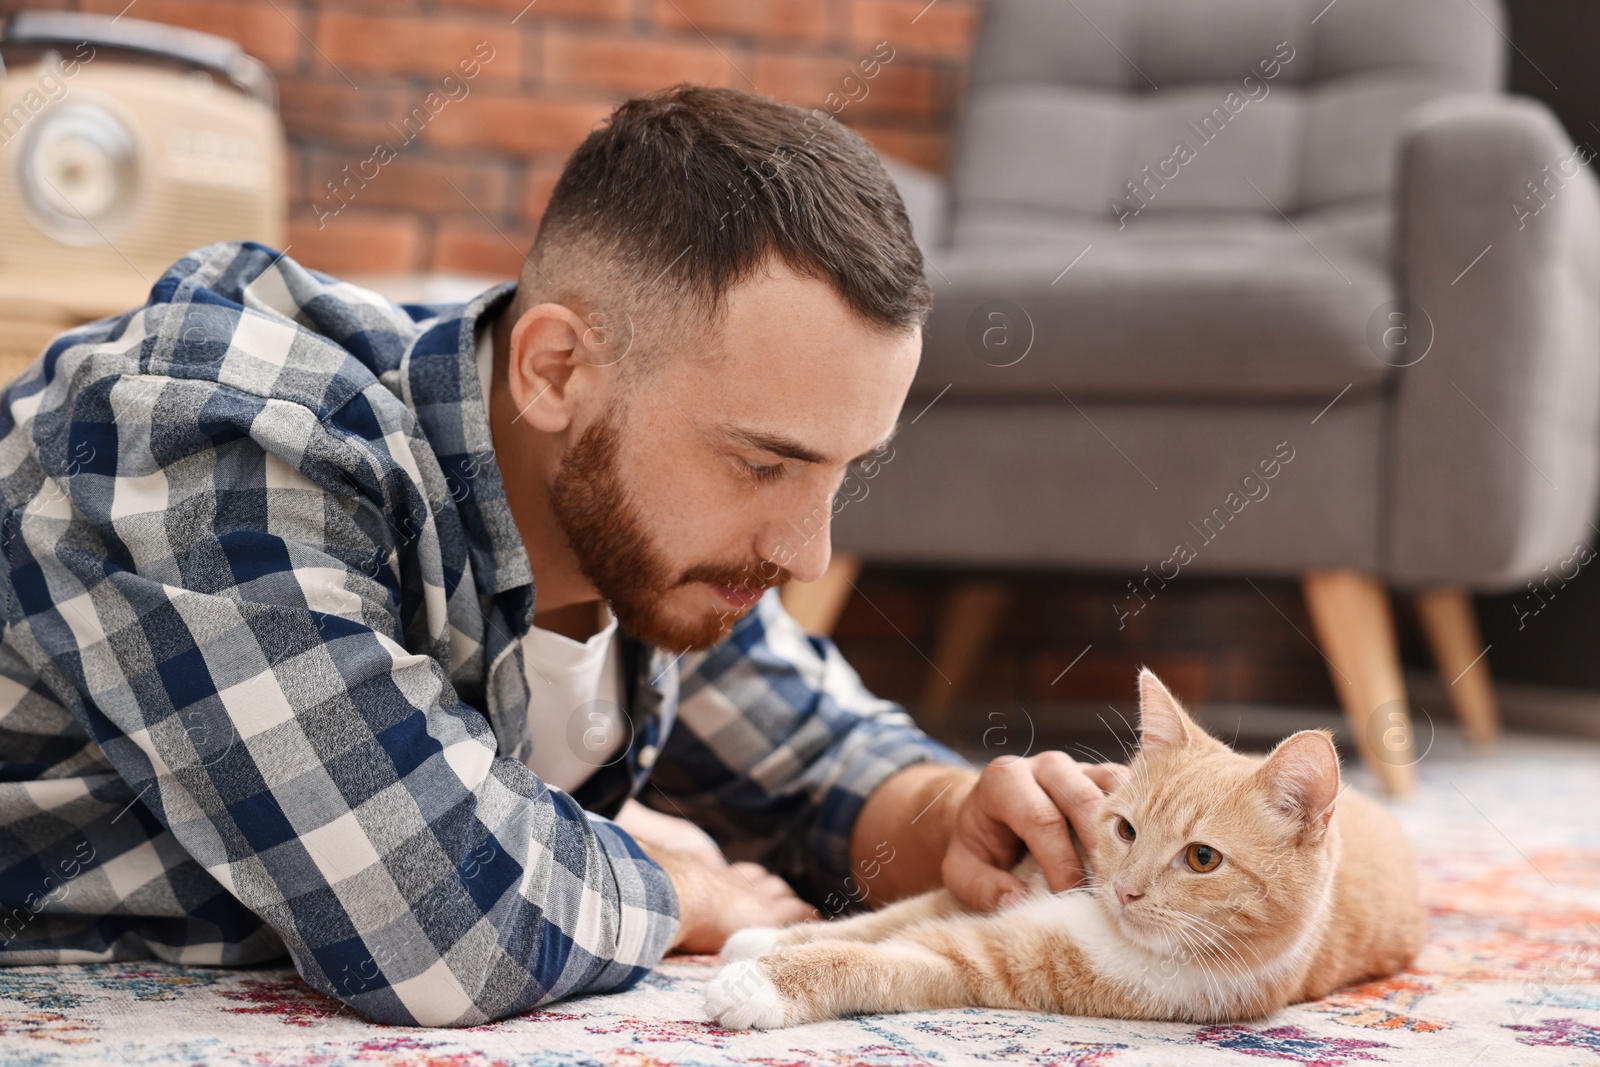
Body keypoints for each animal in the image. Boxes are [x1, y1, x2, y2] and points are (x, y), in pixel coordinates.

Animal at [707, 671, 1420, 1030]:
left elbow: (870, 959)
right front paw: (768, 939)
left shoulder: (984, 963)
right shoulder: (996, 881)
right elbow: (882, 919)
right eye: (1124, 830)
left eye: (1203, 859)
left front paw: (759, 982)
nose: (1125, 890)